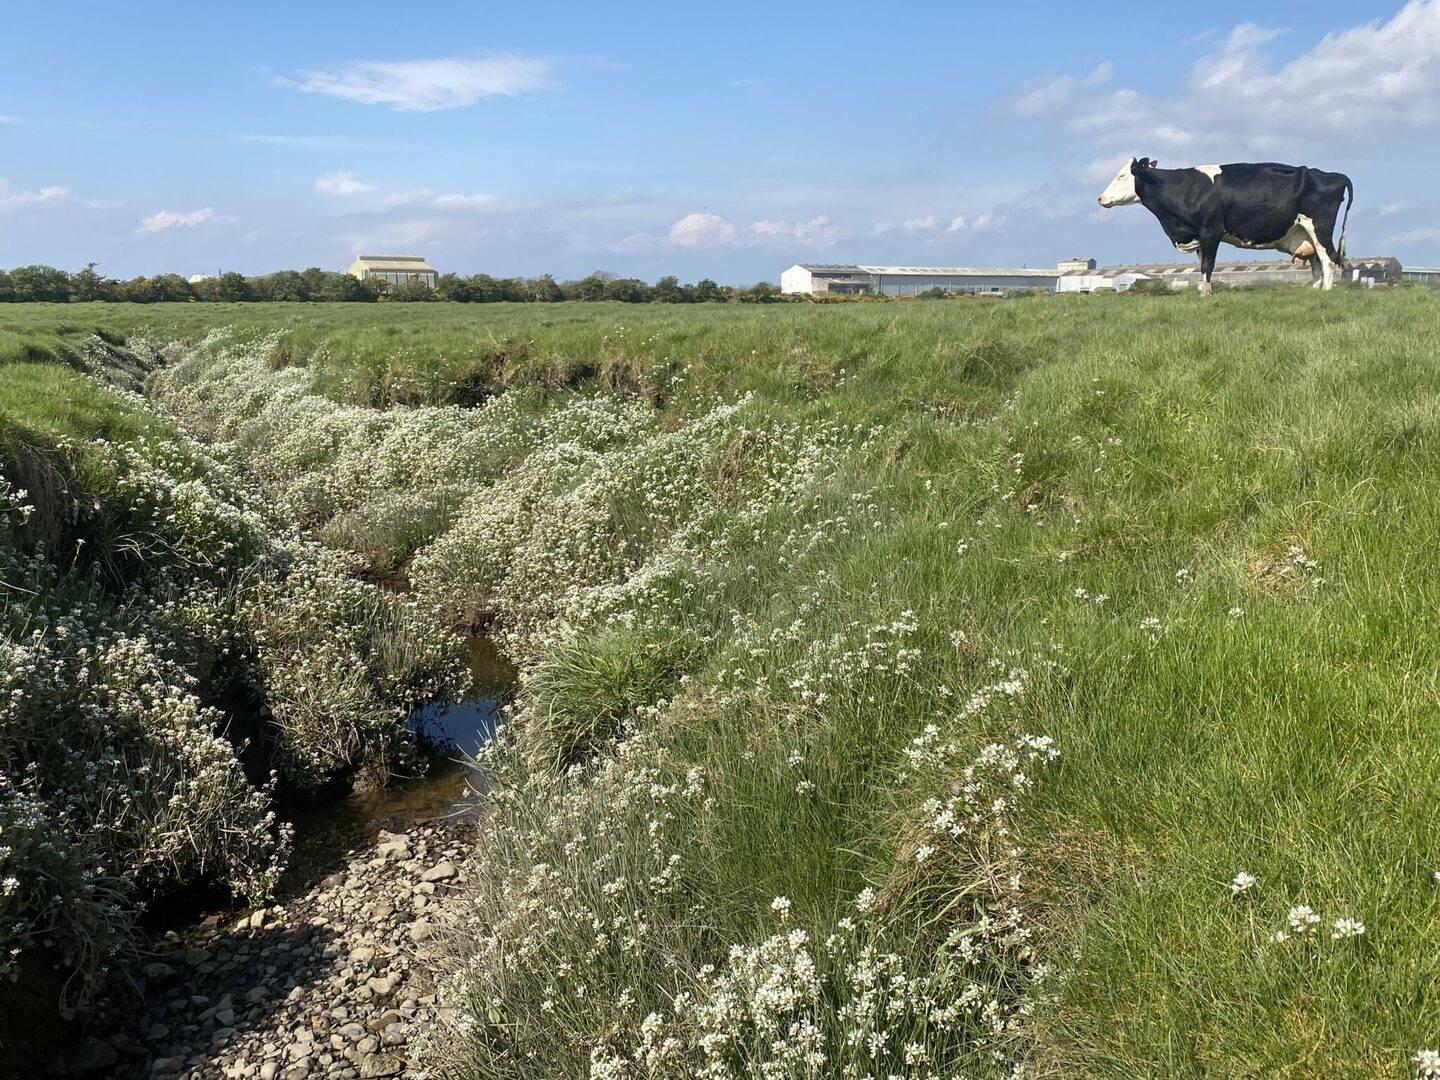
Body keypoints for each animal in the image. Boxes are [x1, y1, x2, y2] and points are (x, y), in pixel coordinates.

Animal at [1096, 158, 1354, 294]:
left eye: (1121, 176)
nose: (1100, 198)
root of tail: (1333, 175)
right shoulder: (1199, 235)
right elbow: (1202, 264)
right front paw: (1203, 290)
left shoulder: (1211, 231)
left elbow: (1207, 265)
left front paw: (1206, 294)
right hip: (1304, 232)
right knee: (1317, 262)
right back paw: (1314, 290)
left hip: (1319, 227)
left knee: (1328, 260)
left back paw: (1326, 291)